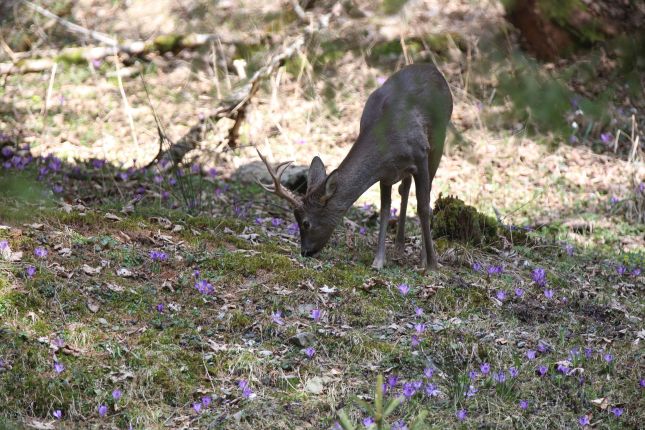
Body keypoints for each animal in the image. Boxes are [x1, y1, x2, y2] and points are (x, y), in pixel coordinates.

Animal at [256, 62, 452, 270]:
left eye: (306, 223)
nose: (305, 251)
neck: (388, 142)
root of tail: (433, 68)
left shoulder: (420, 153)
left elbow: (423, 207)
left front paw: (432, 265)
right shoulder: (386, 173)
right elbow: (384, 210)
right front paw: (378, 261)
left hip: (438, 140)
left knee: (426, 195)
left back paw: (423, 257)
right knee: (404, 188)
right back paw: (399, 246)